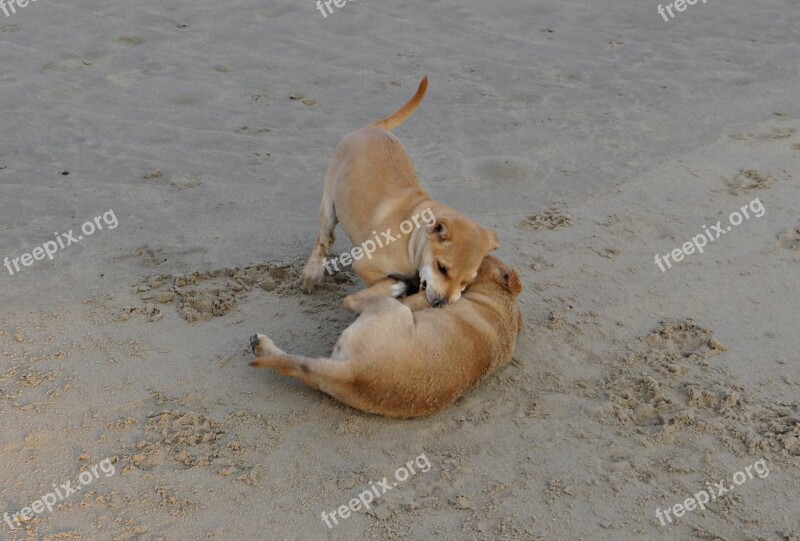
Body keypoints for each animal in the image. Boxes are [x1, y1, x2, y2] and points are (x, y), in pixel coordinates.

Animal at [252, 256, 524, 418]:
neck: (499, 301)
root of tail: (353, 372)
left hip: (391, 309)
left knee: (350, 300)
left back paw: (396, 286)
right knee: (295, 366)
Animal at [302, 76, 500, 308]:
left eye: (466, 282)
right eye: (442, 268)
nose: (442, 304)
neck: (412, 239)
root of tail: (371, 128)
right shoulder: (365, 265)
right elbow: (383, 281)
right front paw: (396, 287)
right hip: (328, 206)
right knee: (324, 239)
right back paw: (311, 274)